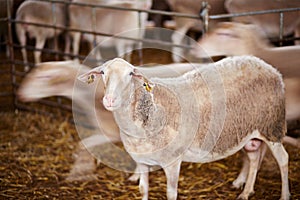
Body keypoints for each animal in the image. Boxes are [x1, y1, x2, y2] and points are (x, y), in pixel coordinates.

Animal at [78, 56, 290, 200]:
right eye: (103, 73)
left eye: (130, 74)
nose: (109, 100)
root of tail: (269, 67)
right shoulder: (143, 161)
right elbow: (143, 189)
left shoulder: (172, 161)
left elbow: (171, 194)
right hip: (250, 131)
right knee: (253, 158)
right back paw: (245, 191)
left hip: (272, 126)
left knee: (283, 159)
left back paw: (284, 194)